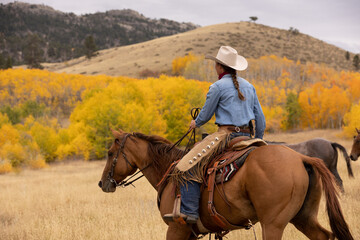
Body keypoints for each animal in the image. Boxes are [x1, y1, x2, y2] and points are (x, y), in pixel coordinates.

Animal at [98, 130, 354, 239]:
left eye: (110, 153)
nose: (102, 183)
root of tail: (301, 158)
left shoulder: (177, 229)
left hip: (273, 224)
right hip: (303, 217)